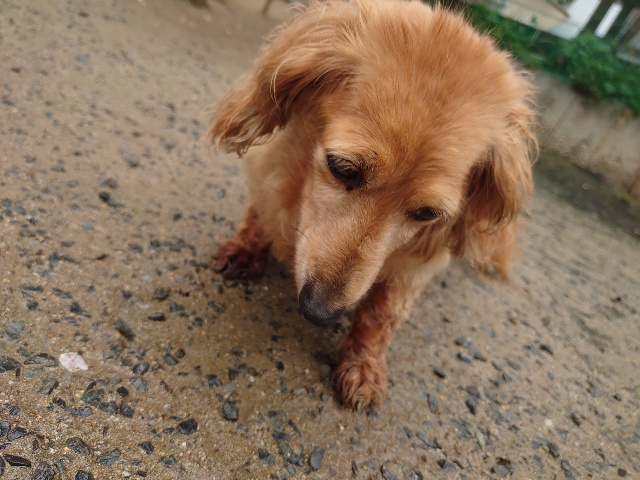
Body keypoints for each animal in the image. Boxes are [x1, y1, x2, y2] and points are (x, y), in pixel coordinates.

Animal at [207, 0, 535, 409]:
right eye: (342, 168)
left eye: (426, 214)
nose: (319, 312)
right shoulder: (271, 172)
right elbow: (260, 216)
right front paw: (246, 249)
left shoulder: (415, 265)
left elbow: (381, 315)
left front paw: (363, 365)